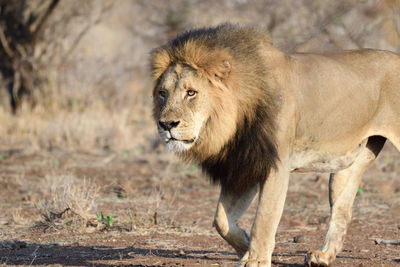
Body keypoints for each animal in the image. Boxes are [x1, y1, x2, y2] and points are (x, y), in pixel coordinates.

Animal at [149, 23, 400, 267]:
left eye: (191, 92)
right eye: (162, 93)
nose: (166, 124)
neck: (238, 117)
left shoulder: (275, 165)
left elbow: (264, 217)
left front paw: (256, 260)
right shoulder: (244, 164)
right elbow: (221, 220)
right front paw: (245, 249)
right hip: (348, 165)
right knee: (343, 210)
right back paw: (323, 257)